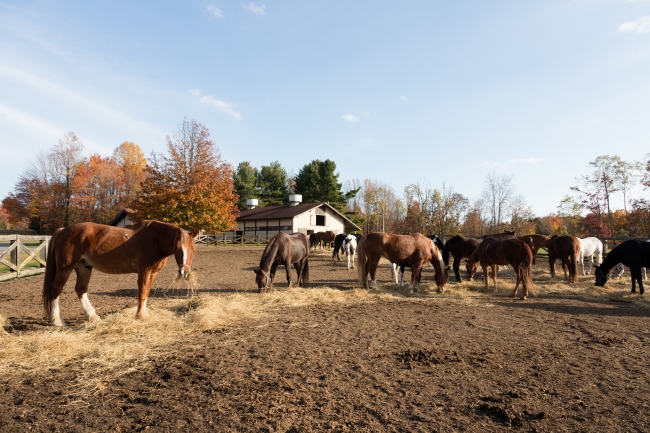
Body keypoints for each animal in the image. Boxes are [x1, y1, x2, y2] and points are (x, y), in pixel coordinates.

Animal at [41, 221, 196, 326]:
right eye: (177, 248)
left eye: (192, 249)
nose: (184, 271)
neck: (154, 239)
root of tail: (62, 230)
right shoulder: (144, 271)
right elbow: (142, 292)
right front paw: (140, 315)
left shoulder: (153, 273)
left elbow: (146, 292)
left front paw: (144, 314)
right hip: (65, 268)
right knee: (56, 289)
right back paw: (56, 320)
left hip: (84, 267)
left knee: (81, 289)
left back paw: (92, 316)